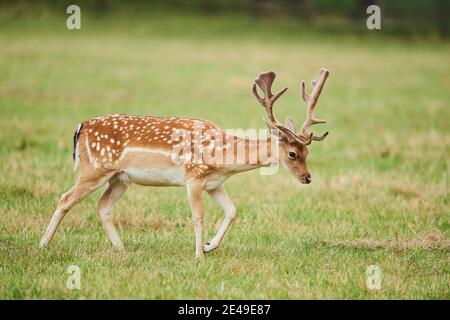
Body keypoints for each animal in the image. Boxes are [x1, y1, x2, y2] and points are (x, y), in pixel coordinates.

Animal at [39, 68, 330, 258]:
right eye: (292, 154)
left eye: (307, 152)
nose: (307, 178)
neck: (221, 156)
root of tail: (81, 127)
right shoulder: (193, 177)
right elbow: (198, 216)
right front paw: (199, 255)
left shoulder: (215, 183)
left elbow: (233, 211)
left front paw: (210, 247)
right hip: (95, 168)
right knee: (65, 198)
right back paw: (42, 245)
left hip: (120, 178)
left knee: (103, 207)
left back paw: (122, 249)